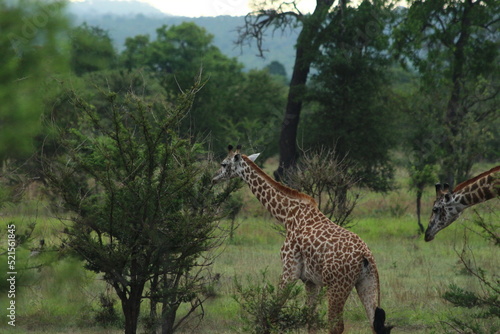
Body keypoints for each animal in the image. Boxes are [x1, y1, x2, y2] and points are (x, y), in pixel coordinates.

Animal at [211, 145, 390, 334]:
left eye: (223, 164)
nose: (213, 178)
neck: (287, 216)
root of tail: (365, 256)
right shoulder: (311, 280)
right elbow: (310, 320)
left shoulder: (290, 269)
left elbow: (274, 312)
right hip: (368, 282)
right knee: (374, 323)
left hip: (337, 286)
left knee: (336, 326)